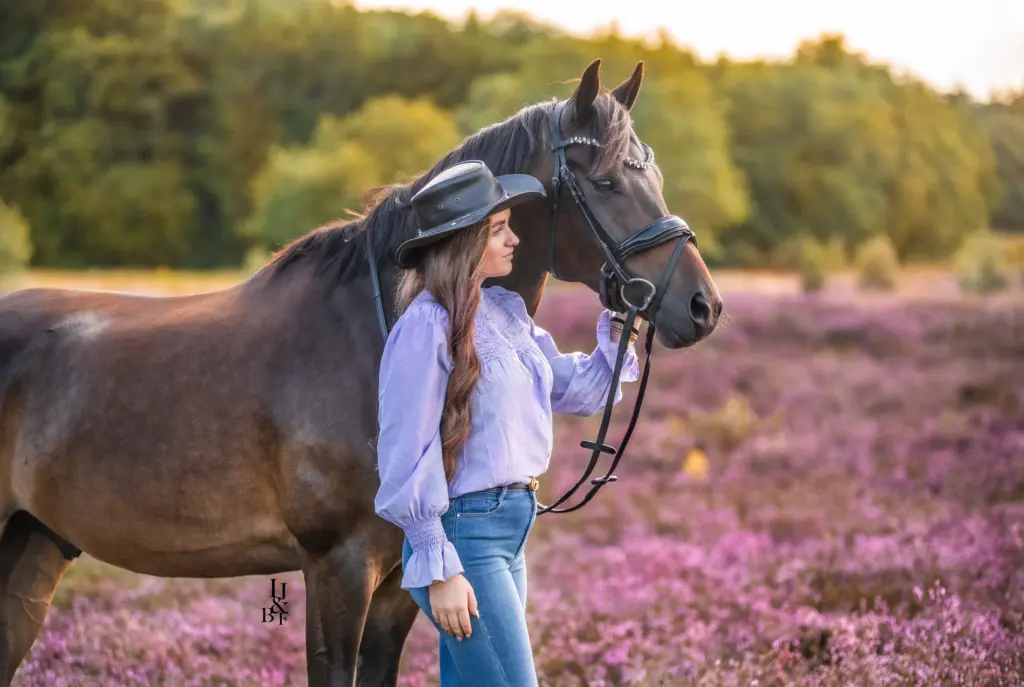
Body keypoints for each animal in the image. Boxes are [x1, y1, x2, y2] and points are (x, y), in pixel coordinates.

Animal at [0, 60, 720, 687]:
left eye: (651, 175)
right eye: (606, 182)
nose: (701, 306)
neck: (375, 334)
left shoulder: (406, 579)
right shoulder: (336, 568)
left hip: (33, 546)